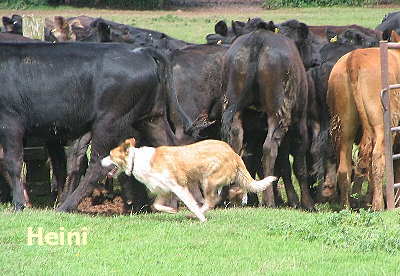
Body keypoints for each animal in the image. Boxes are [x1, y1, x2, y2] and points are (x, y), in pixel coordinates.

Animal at [0, 42, 195, 211]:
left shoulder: (10, 122)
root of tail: (142, 51)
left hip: (108, 122)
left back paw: (65, 206)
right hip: (151, 118)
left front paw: (19, 205)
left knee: (98, 164)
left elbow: (13, 162)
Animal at [101, 138, 276, 222]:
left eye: (109, 155)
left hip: (208, 181)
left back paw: (198, 215)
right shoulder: (164, 190)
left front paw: (201, 219)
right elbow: (157, 205)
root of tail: (233, 153)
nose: (100, 161)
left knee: (211, 201)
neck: (136, 159)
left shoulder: (179, 186)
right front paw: (172, 211)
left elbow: (191, 204)